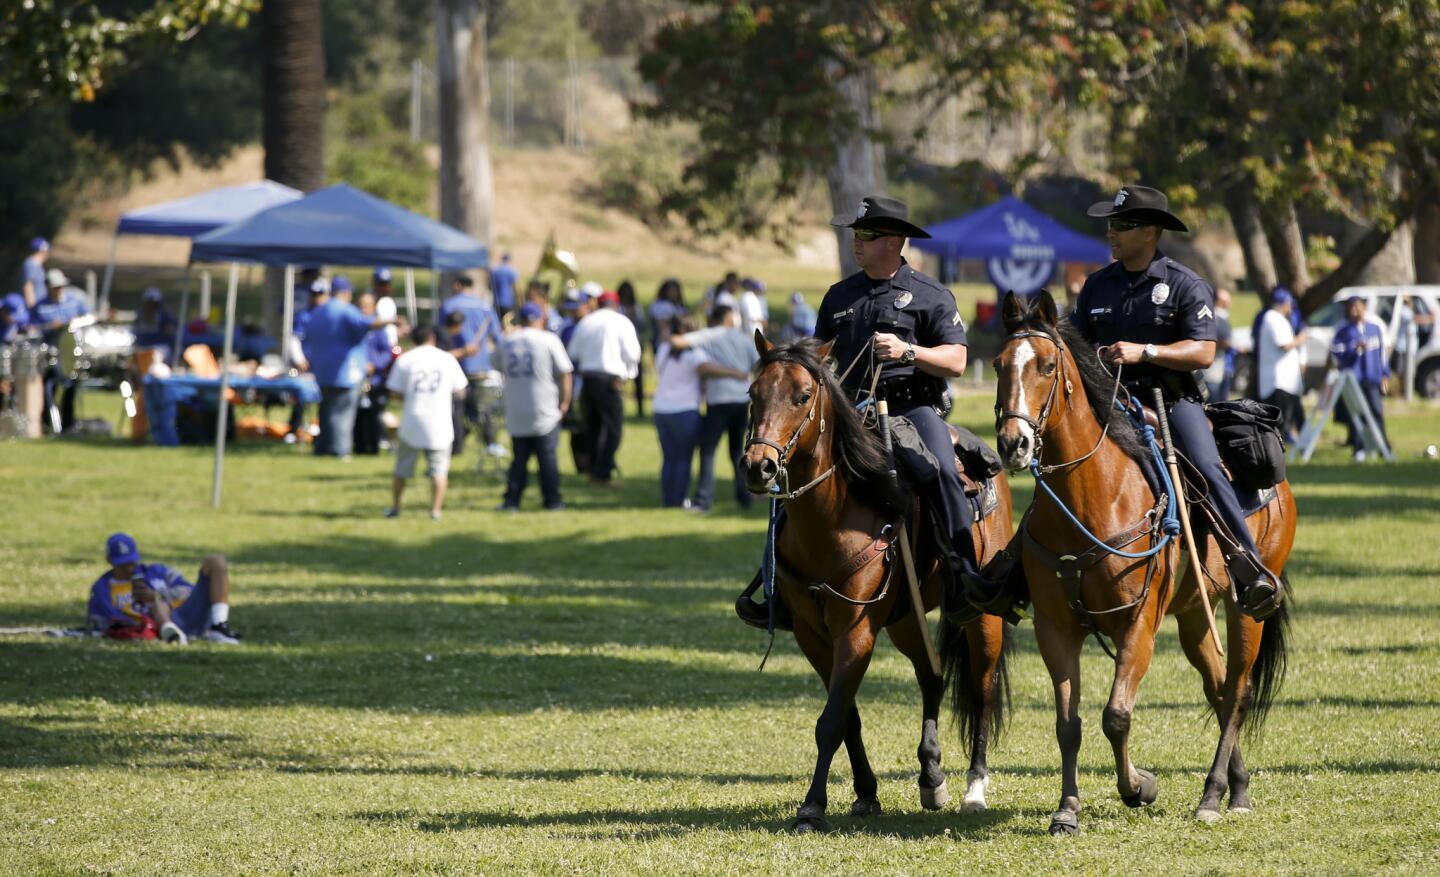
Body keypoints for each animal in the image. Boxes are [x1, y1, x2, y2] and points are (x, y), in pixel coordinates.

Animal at [743, 331, 1013, 829]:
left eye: (803, 395)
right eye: (754, 393)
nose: (759, 466)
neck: (831, 519)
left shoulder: (856, 629)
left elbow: (830, 721)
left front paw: (812, 806)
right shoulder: (812, 634)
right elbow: (845, 715)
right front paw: (866, 792)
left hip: (981, 620)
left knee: (982, 689)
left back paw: (974, 787)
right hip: (905, 617)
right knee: (931, 677)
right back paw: (931, 775)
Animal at [990, 290, 1296, 829]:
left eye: (1046, 366)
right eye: (998, 364)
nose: (1013, 444)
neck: (1092, 498)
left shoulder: (1139, 625)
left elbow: (1116, 715)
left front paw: (1139, 787)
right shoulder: (1055, 628)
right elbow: (1068, 724)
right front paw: (1067, 809)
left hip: (1246, 608)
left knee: (1237, 692)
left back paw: (1212, 796)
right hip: (1195, 613)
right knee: (1218, 689)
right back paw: (1235, 787)